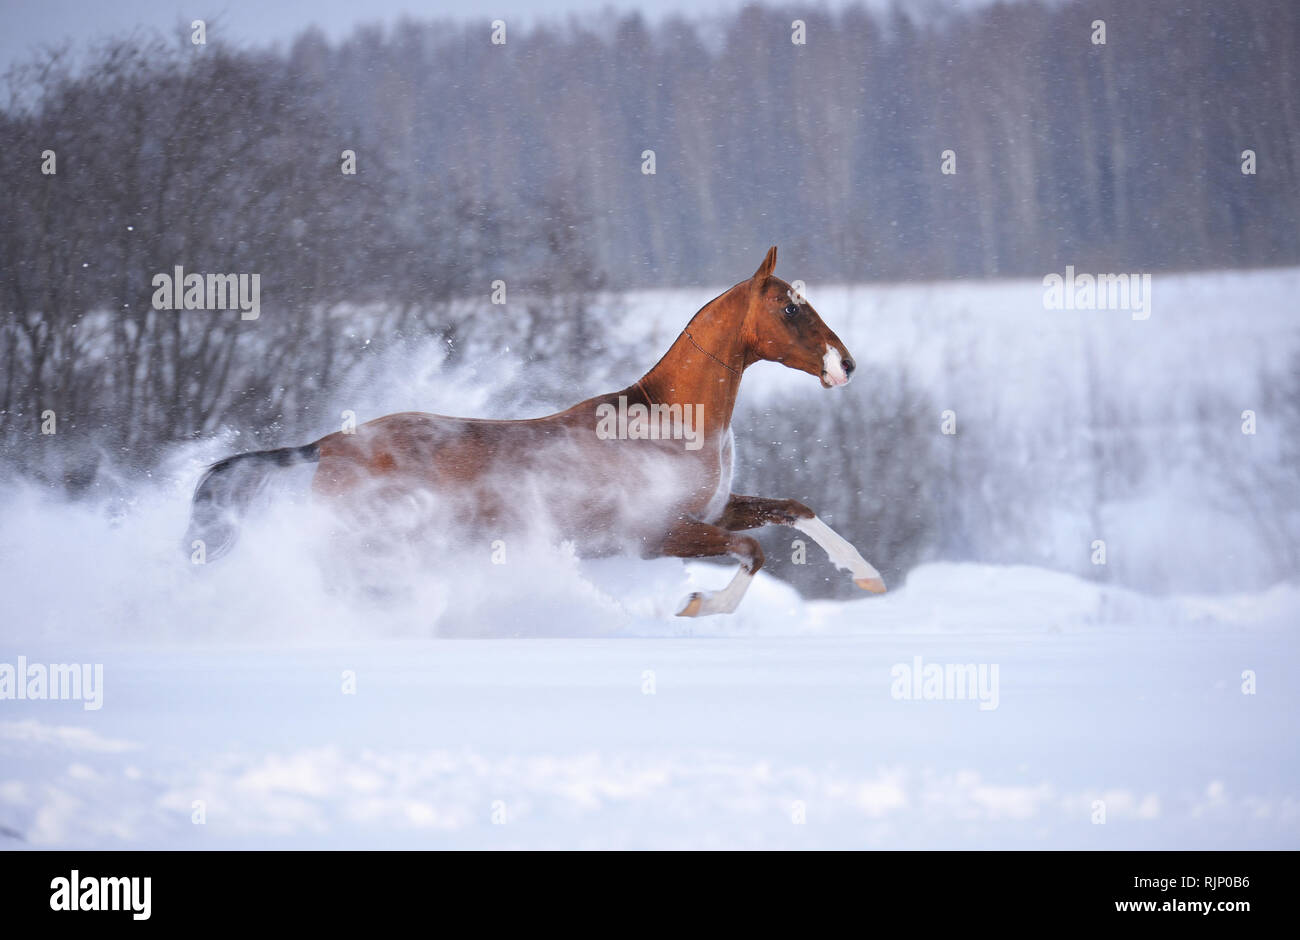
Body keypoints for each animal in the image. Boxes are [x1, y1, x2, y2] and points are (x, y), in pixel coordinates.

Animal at [188, 248, 883, 618]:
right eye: (789, 307)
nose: (846, 365)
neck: (670, 423)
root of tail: (329, 444)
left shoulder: (713, 511)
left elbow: (795, 510)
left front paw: (866, 575)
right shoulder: (656, 535)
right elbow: (755, 552)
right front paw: (696, 605)